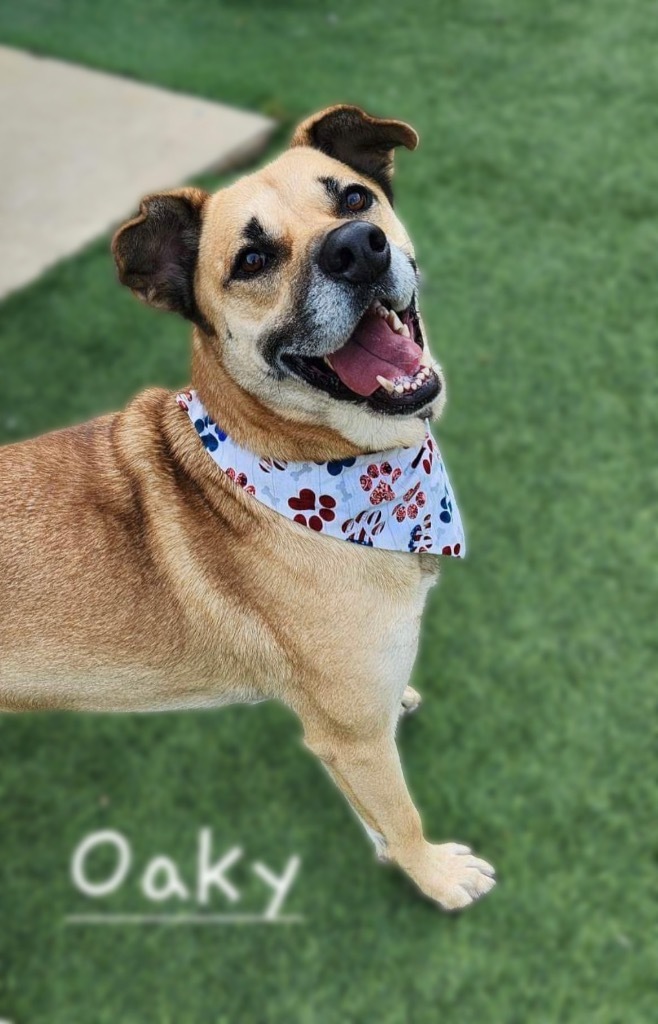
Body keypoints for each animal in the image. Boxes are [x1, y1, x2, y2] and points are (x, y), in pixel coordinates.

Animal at [1, 105, 495, 913]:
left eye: (354, 198)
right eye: (253, 259)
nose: (358, 249)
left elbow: (375, 814)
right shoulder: (351, 735)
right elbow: (401, 814)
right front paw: (437, 875)